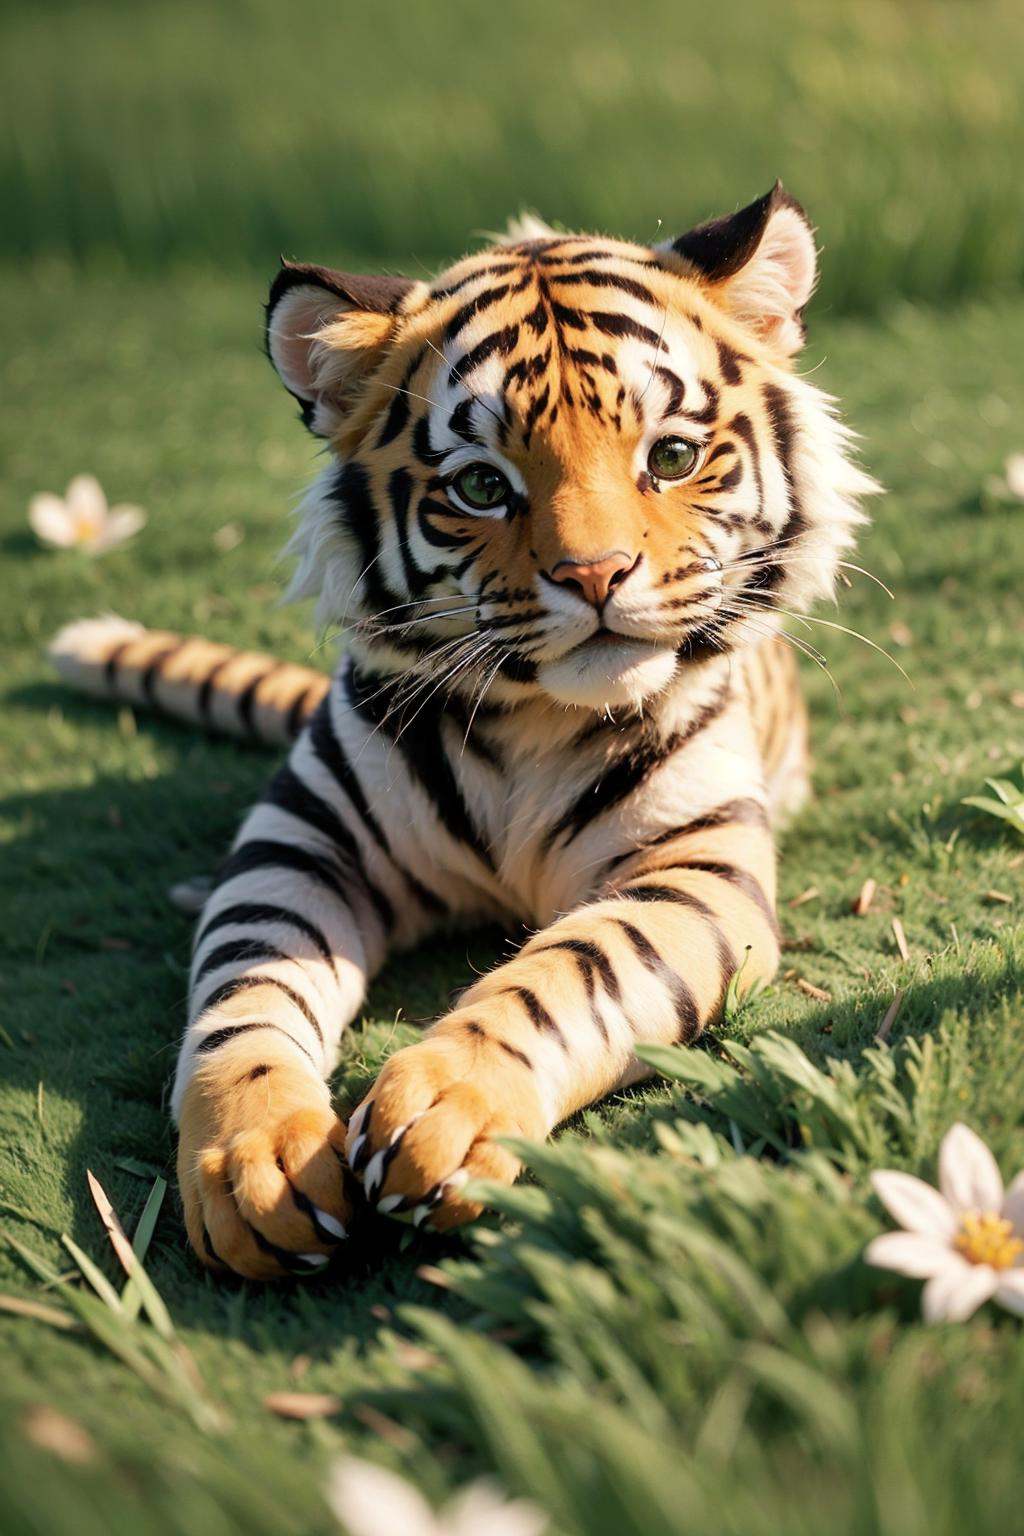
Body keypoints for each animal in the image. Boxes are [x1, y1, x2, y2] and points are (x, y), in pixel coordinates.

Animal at [51, 183, 877, 1279]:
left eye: (670, 456)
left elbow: (572, 969)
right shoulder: (299, 847)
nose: (595, 576)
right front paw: (254, 1164)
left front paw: (441, 1111)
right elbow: (246, 995)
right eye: (483, 485)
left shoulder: (691, 871)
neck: (536, 720)